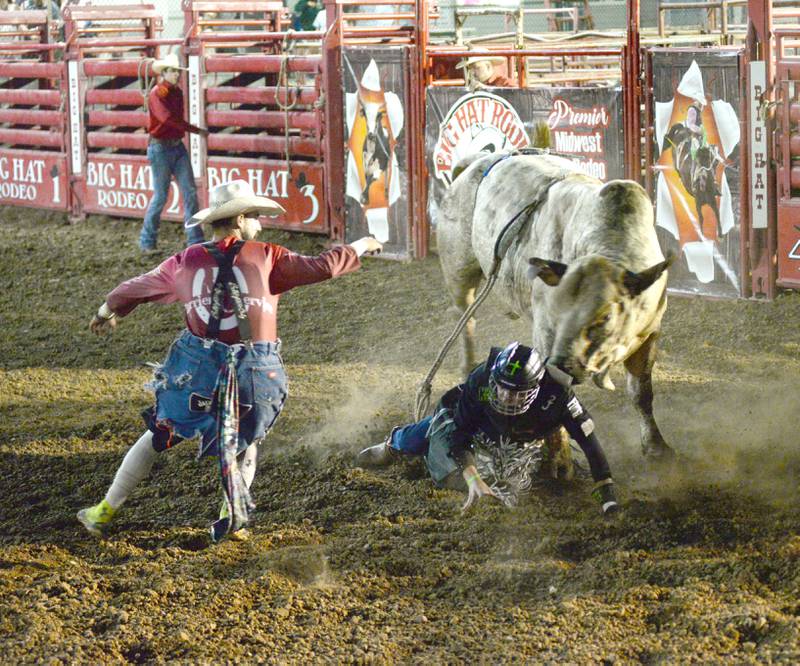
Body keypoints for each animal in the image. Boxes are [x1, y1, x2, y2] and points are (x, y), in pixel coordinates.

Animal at [438, 149, 676, 466]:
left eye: (606, 316)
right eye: (555, 308)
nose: (562, 364)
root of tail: (478, 160)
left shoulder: (649, 335)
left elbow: (641, 393)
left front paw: (656, 446)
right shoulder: (544, 339)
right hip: (459, 270)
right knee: (465, 317)